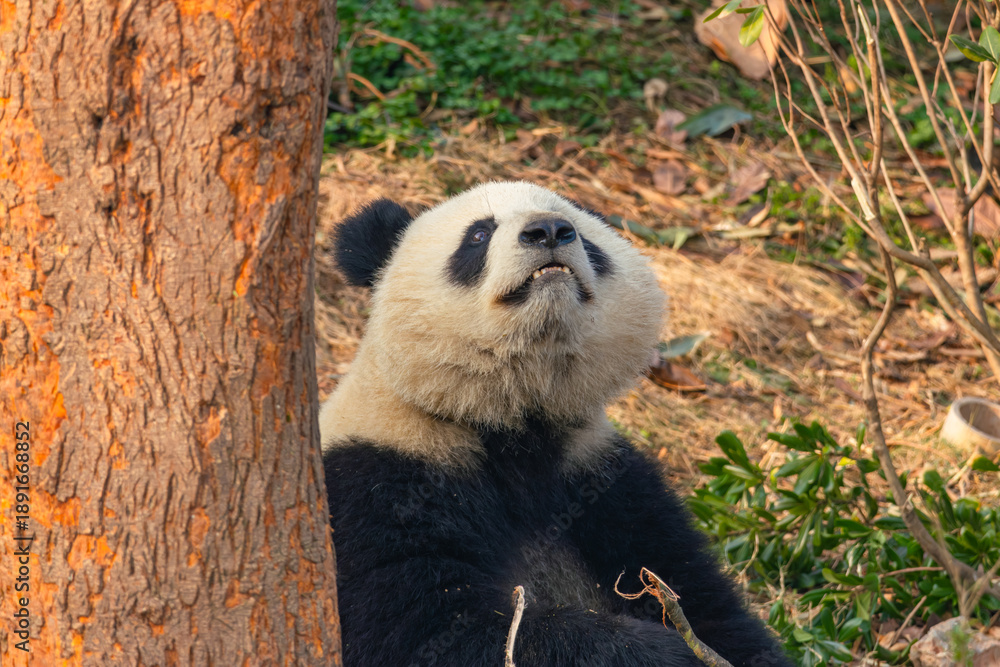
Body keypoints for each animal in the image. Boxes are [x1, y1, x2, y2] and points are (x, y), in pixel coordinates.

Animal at [320, 181, 791, 667]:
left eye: (578, 228)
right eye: (478, 235)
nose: (547, 229)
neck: (514, 419)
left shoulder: (603, 478)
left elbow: (700, 599)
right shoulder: (376, 483)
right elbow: (426, 628)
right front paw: (661, 651)